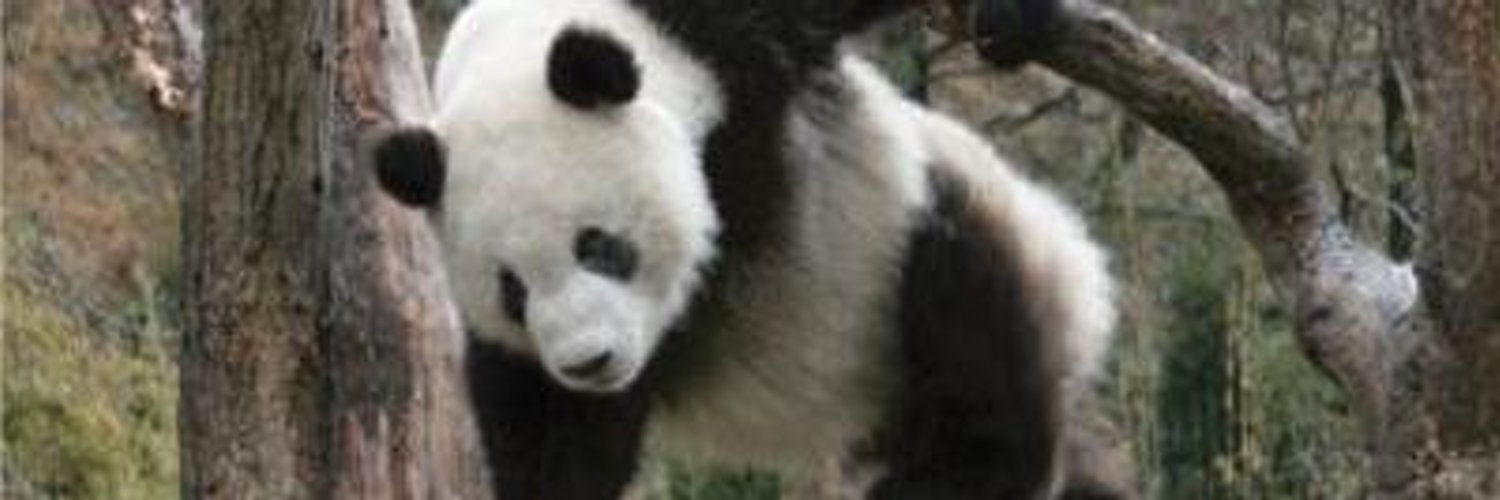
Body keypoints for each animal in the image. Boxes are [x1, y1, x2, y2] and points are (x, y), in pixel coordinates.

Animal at [369, 0, 1120, 498]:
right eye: (512, 290)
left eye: (600, 247)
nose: (589, 363)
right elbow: (554, 435)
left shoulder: (722, 45)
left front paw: (1016, 18)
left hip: (936, 224)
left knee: (974, 332)